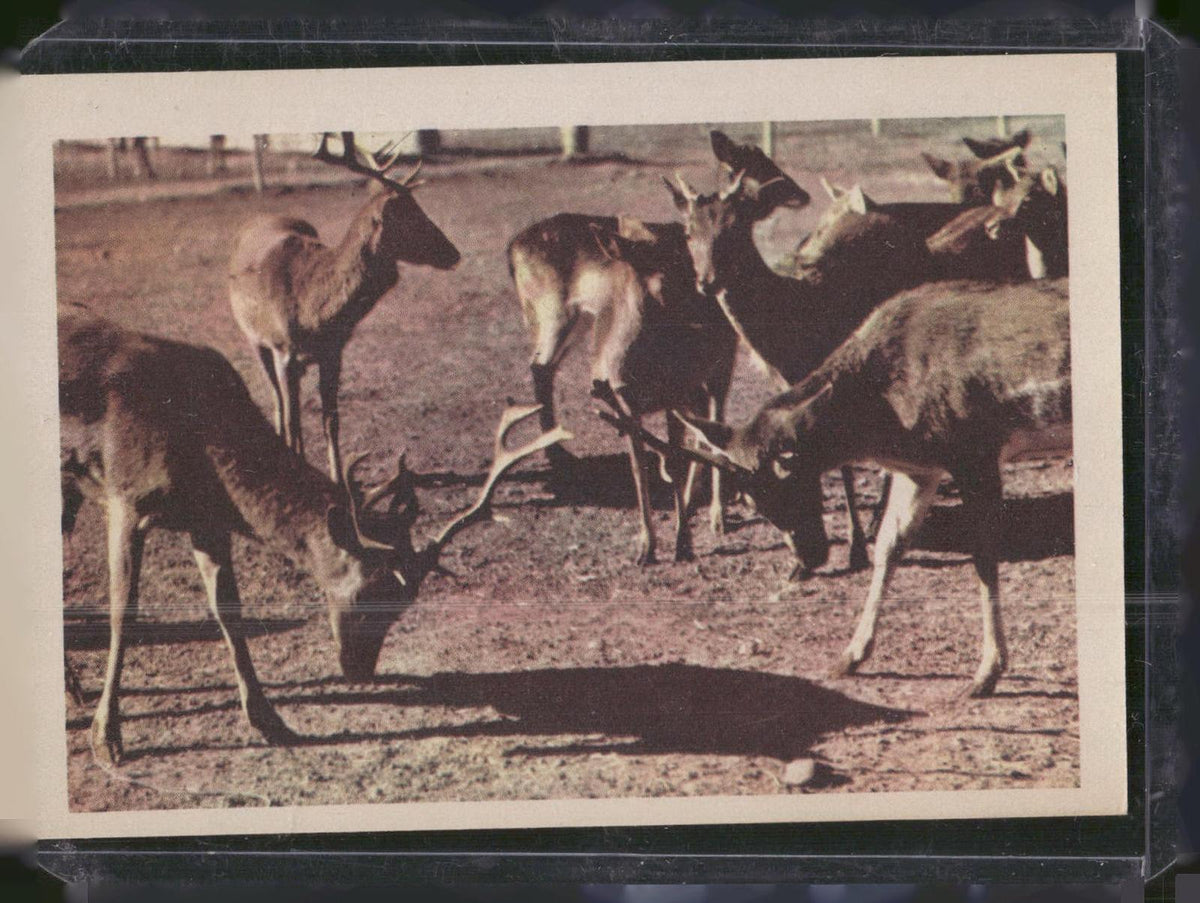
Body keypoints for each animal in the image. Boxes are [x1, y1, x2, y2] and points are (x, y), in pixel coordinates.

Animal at [59, 312, 568, 765]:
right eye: (365, 594)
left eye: (404, 606)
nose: (361, 671)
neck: (194, 427)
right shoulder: (125, 498)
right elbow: (123, 614)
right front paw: (107, 739)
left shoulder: (207, 520)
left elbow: (230, 612)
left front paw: (271, 721)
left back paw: (73, 688)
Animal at [229, 134, 461, 484]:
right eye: (411, 215)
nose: (453, 253)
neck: (314, 311)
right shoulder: (284, 351)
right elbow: (295, 419)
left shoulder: (333, 352)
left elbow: (331, 421)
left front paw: (338, 479)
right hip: (253, 337)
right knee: (277, 399)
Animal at [599, 278, 1072, 698]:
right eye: (752, 498)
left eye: (791, 469)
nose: (809, 554)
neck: (885, 420)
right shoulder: (921, 468)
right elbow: (889, 545)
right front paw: (850, 656)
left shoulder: (975, 453)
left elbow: (985, 558)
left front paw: (986, 674)